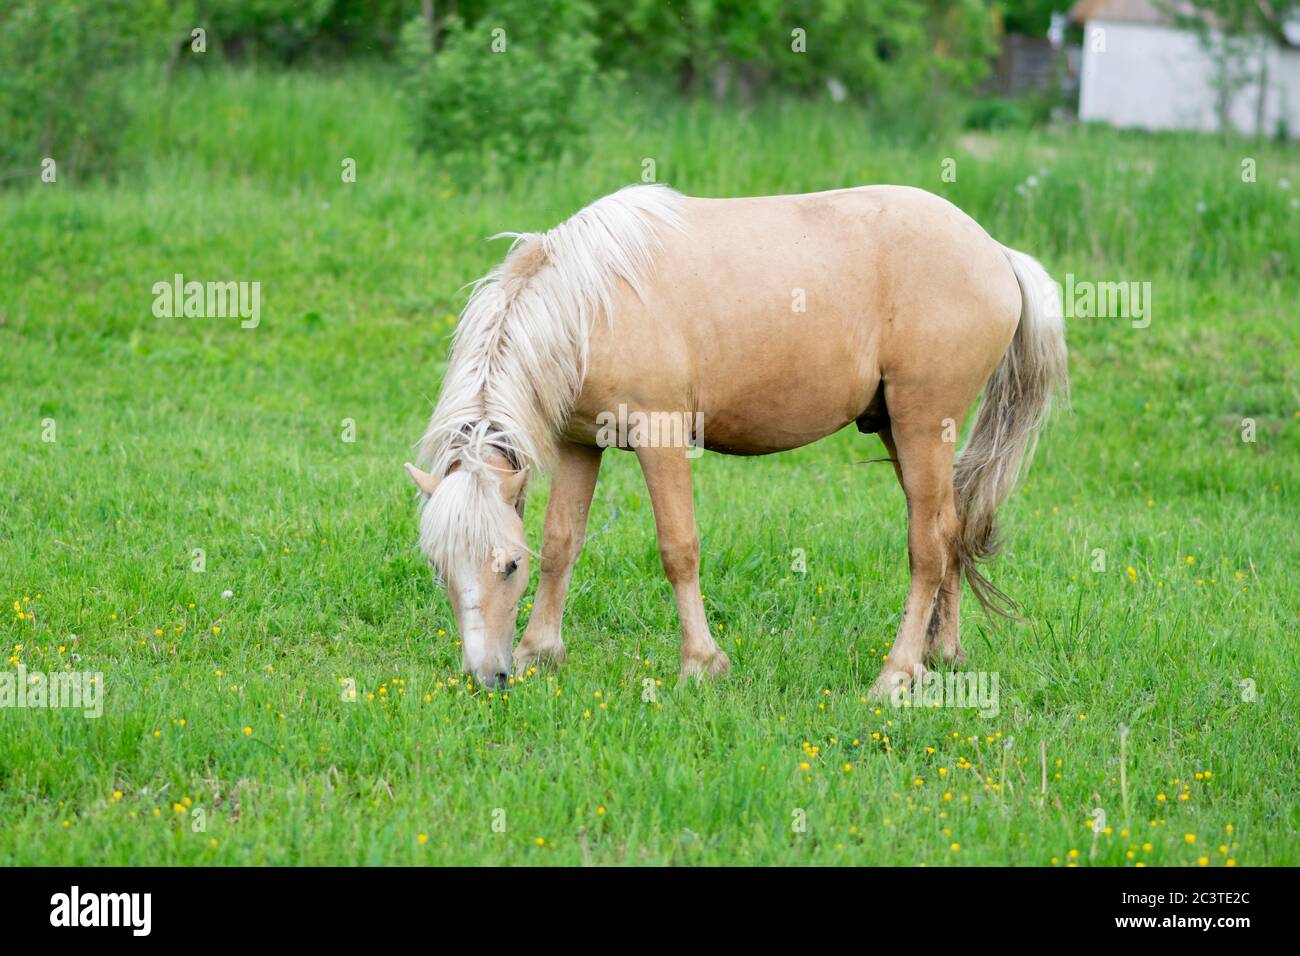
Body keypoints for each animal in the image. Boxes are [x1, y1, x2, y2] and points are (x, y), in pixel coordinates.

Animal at [405, 184, 1068, 698]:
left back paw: (897, 674)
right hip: (904, 433)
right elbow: (563, 541)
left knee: (927, 545)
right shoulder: (578, 444)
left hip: (922, 425)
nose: (487, 677)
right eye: (439, 564)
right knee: (950, 528)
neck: (590, 304)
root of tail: (995, 252)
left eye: (508, 565)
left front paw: (702, 664)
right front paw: (540, 653)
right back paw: (942, 655)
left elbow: (679, 549)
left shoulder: (660, 436)